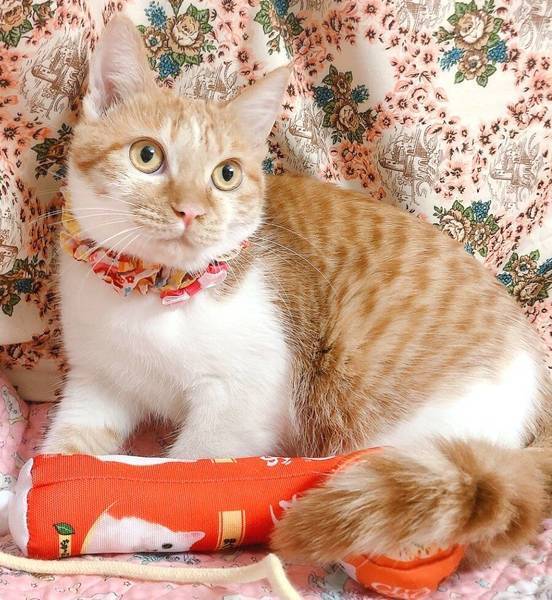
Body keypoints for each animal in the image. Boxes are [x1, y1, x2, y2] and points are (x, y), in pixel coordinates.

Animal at [42, 15, 552, 566]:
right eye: (146, 155)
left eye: (225, 175)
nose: (190, 210)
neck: (151, 293)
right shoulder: (98, 379)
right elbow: (70, 441)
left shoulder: (242, 400)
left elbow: (197, 463)